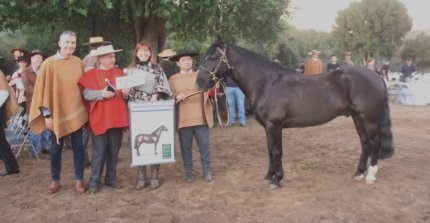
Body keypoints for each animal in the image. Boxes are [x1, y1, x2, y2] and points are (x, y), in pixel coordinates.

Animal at [195, 41, 394, 188]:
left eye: (214, 57)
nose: (198, 82)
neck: (267, 83)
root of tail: (377, 76)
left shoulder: (275, 126)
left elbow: (277, 151)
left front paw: (277, 179)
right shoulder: (268, 127)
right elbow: (269, 150)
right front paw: (269, 175)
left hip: (370, 119)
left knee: (374, 143)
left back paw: (370, 176)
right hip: (357, 117)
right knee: (365, 143)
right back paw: (359, 173)